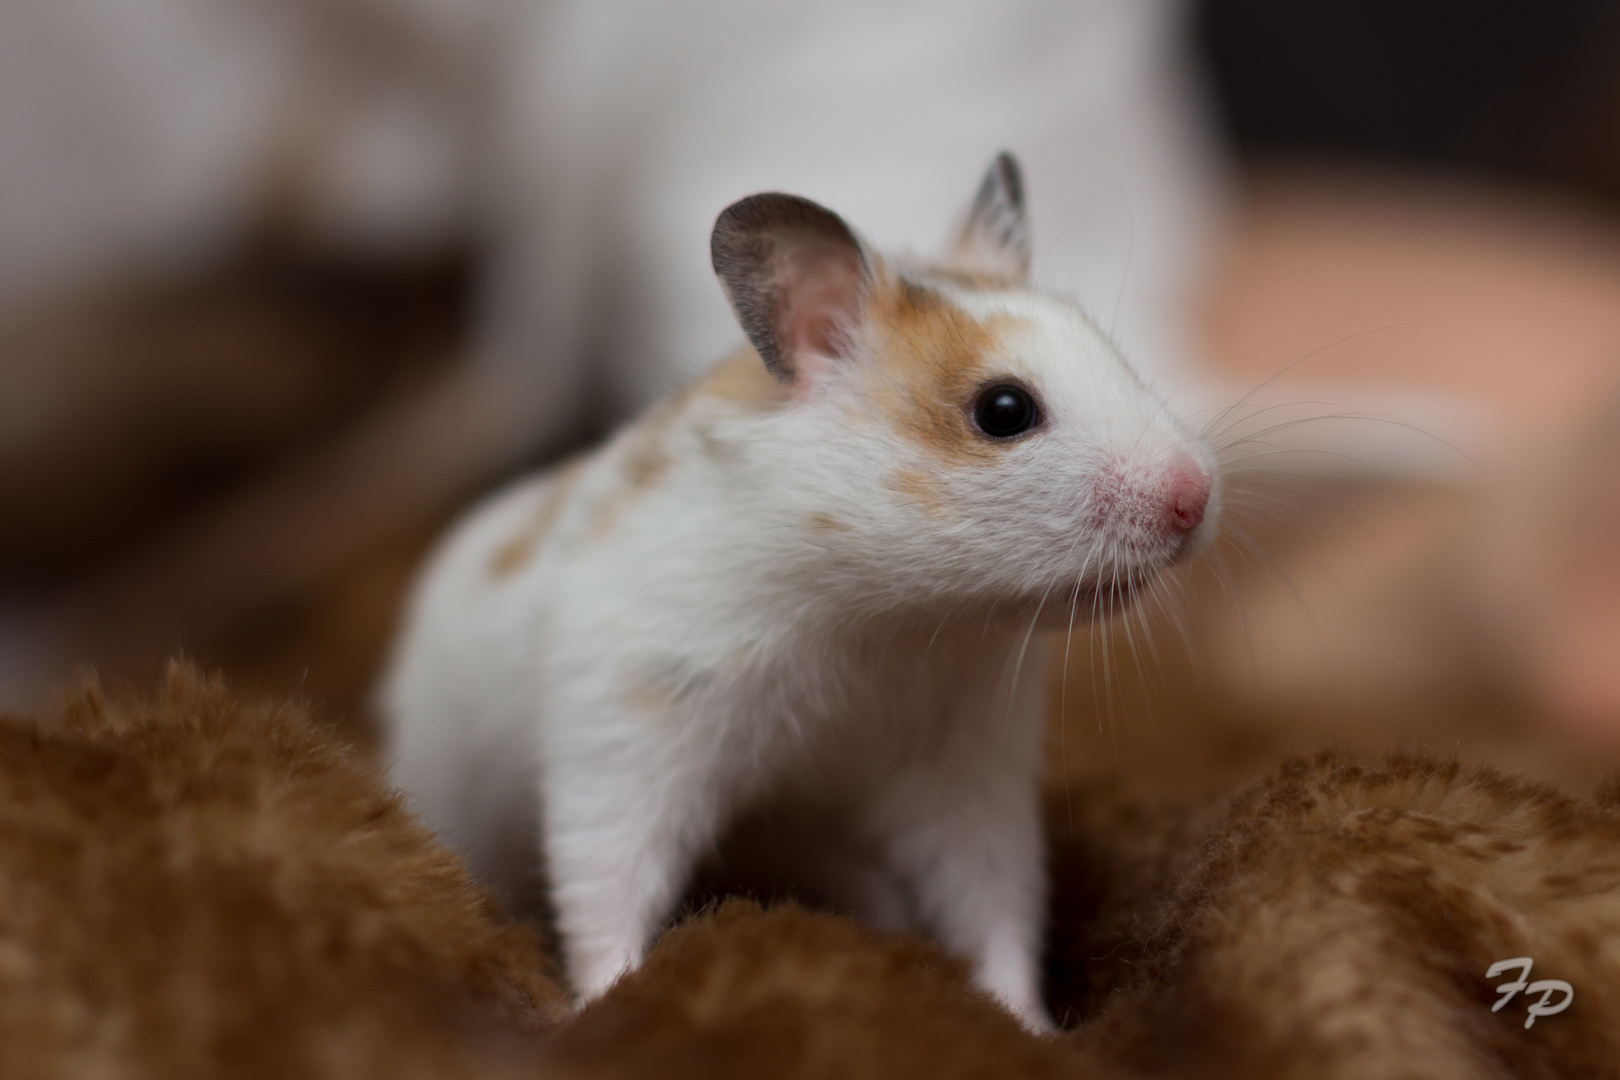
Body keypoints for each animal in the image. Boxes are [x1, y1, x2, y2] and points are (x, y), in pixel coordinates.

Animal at [379, 153, 1218, 1029]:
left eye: (1114, 353)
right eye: (1004, 410)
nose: (1199, 499)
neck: (882, 616)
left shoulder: (965, 770)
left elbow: (993, 899)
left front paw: (1029, 1024)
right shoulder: (626, 731)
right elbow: (606, 878)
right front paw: (608, 1001)